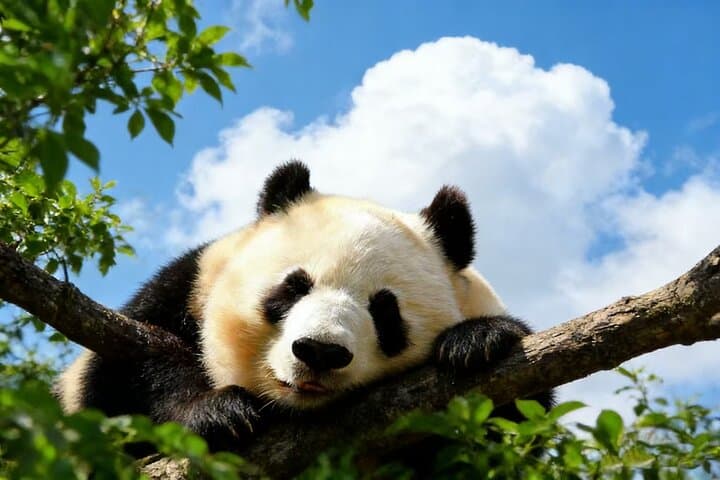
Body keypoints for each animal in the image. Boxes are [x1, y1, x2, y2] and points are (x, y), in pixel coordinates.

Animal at [55, 161, 552, 452]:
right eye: (293, 288)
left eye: (385, 311)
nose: (319, 351)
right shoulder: (184, 287)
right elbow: (125, 374)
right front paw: (220, 412)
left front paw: (478, 341)